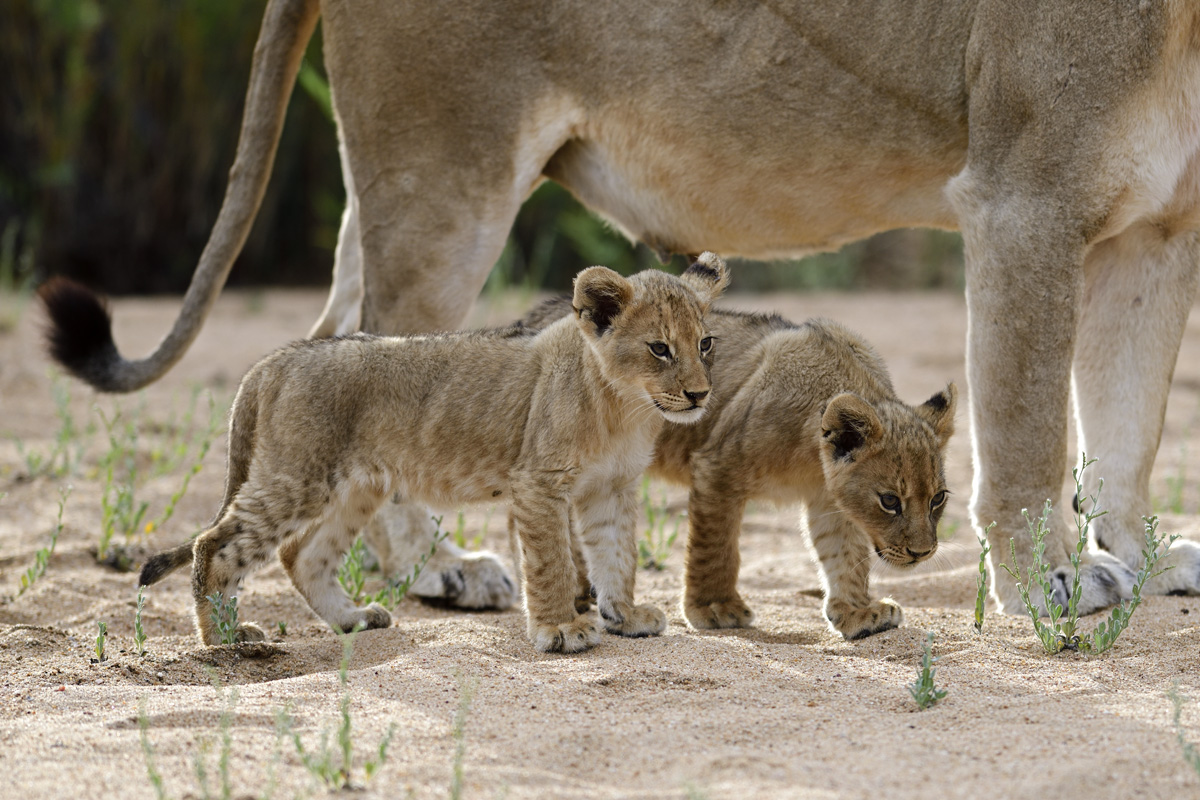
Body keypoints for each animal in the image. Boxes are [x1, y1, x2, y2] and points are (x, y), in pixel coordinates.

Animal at [133, 257, 728, 651]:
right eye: (659, 348)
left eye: (704, 344)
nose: (700, 395)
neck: (625, 407)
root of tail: (274, 361)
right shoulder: (538, 483)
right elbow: (552, 562)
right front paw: (561, 629)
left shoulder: (611, 488)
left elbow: (617, 556)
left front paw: (624, 616)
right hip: (297, 477)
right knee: (215, 544)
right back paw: (225, 637)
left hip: (357, 487)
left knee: (302, 556)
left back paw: (353, 620)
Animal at [521, 298, 956, 639]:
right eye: (890, 501)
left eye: (937, 499)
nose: (922, 553)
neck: (811, 454)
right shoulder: (718, 466)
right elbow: (716, 547)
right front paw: (715, 609)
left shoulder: (828, 496)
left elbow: (844, 552)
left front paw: (857, 613)